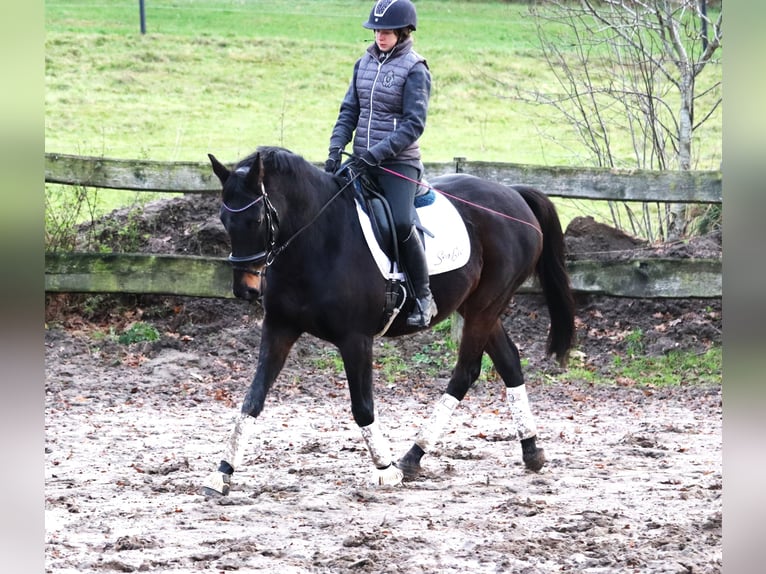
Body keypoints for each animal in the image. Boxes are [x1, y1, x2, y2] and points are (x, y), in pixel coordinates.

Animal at [201, 146, 572, 498]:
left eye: (257, 219)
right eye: (224, 219)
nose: (245, 289)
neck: (317, 240)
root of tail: (513, 194)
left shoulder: (355, 339)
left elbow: (362, 407)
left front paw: (385, 470)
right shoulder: (279, 329)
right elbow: (253, 400)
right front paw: (222, 474)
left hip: (485, 307)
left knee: (465, 372)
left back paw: (412, 457)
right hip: (478, 307)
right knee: (508, 361)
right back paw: (530, 450)